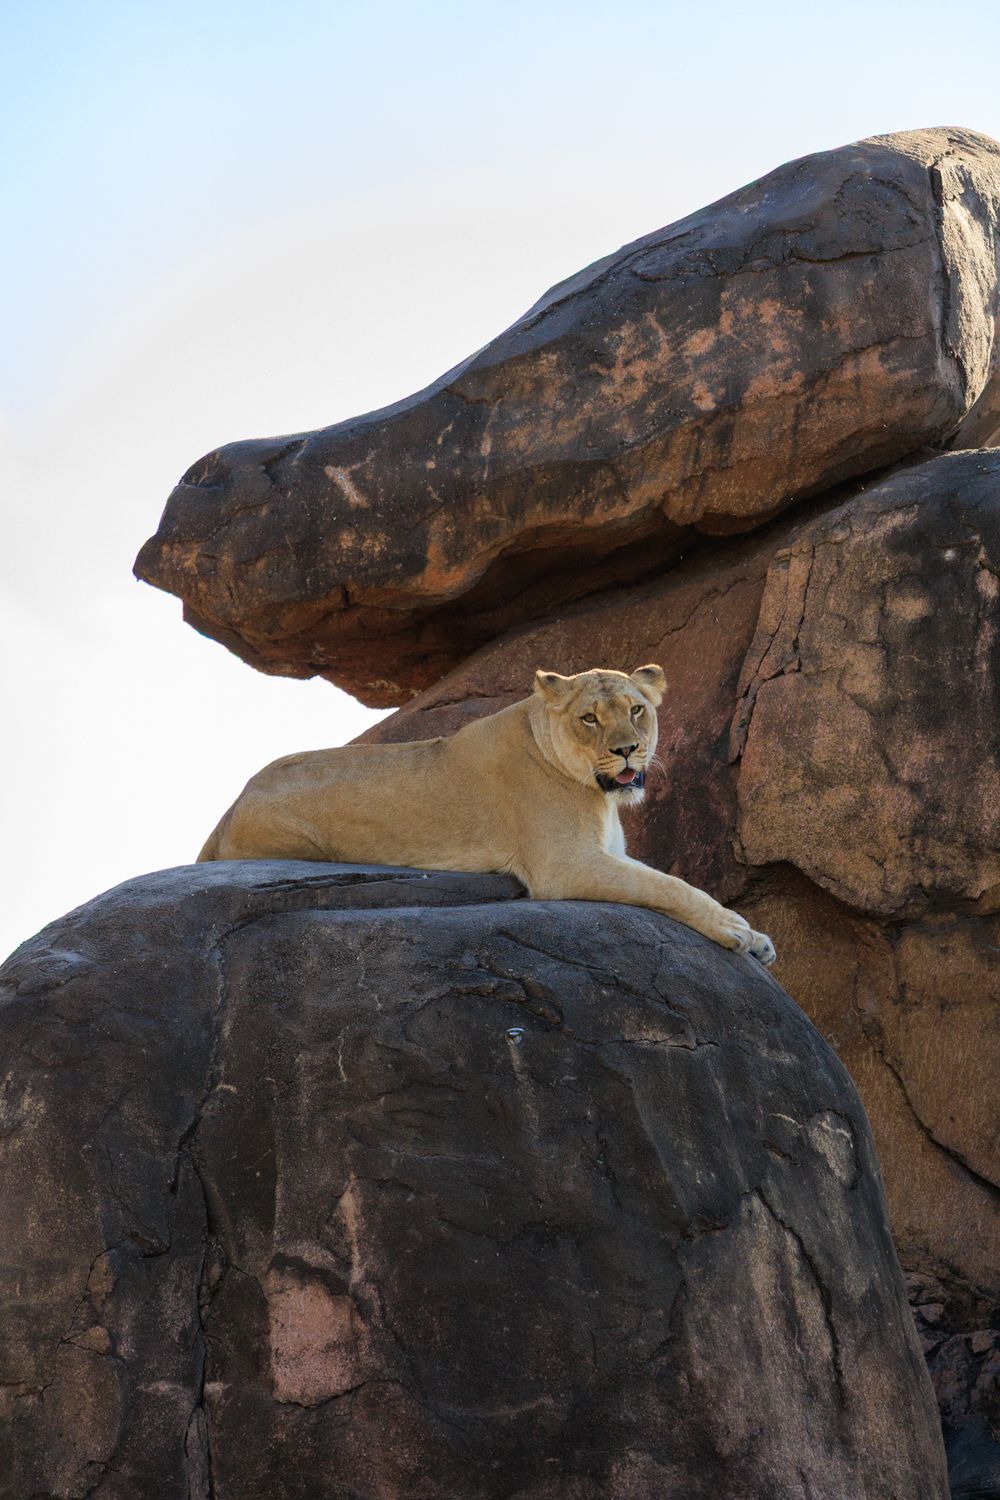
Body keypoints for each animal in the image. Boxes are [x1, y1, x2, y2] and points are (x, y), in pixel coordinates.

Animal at [198, 664, 776, 964]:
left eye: (637, 709)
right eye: (589, 718)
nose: (629, 750)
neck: (599, 796)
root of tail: (227, 811)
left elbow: (666, 880)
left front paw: (756, 937)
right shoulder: (566, 865)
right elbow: (670, 886)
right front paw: (739, 931)